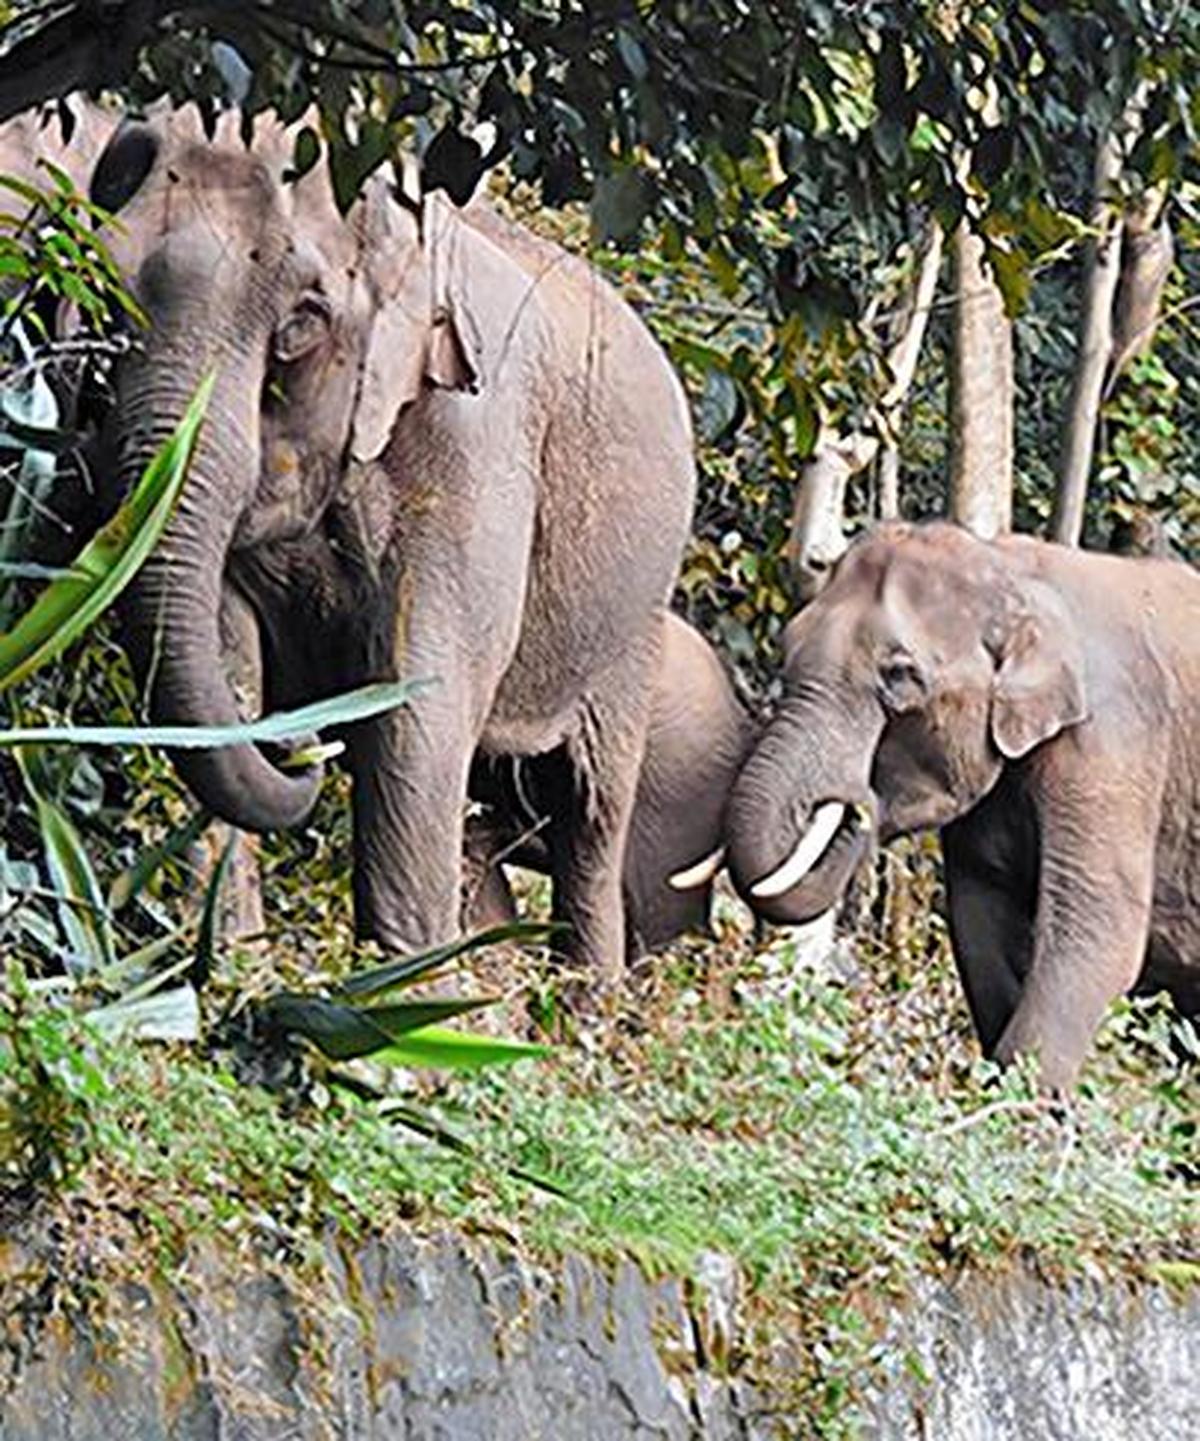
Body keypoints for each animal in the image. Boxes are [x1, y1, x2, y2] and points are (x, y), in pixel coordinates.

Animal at [86, 106, 695, 977]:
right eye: (103, 292)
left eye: (300, 326)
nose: (301, 744)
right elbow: (228, 658)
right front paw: (229, 970)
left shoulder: (473, 444)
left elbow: (419, 702)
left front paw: (400, 998)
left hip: (632, 625)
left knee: (588, 813)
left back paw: (583, 1001)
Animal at [724, 521, 1200, 1090]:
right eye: (787, 645)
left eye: (900, 675)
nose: (854, 806)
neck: (1017, 571)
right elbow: (980, 917)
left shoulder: (1113, 743)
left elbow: (1095, 928)